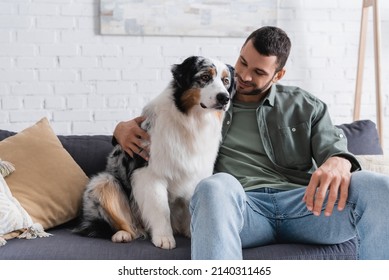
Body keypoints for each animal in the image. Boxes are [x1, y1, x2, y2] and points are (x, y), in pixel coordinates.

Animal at [75, 55, 233, 248]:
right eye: (204, 77)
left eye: (226, 81)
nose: (225, 98)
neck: (192, 122)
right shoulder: (149, 174)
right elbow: (160, 208)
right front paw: (164, 238)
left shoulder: (196, 174)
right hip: (103, 182)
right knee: (119, 225)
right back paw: (122, 234)